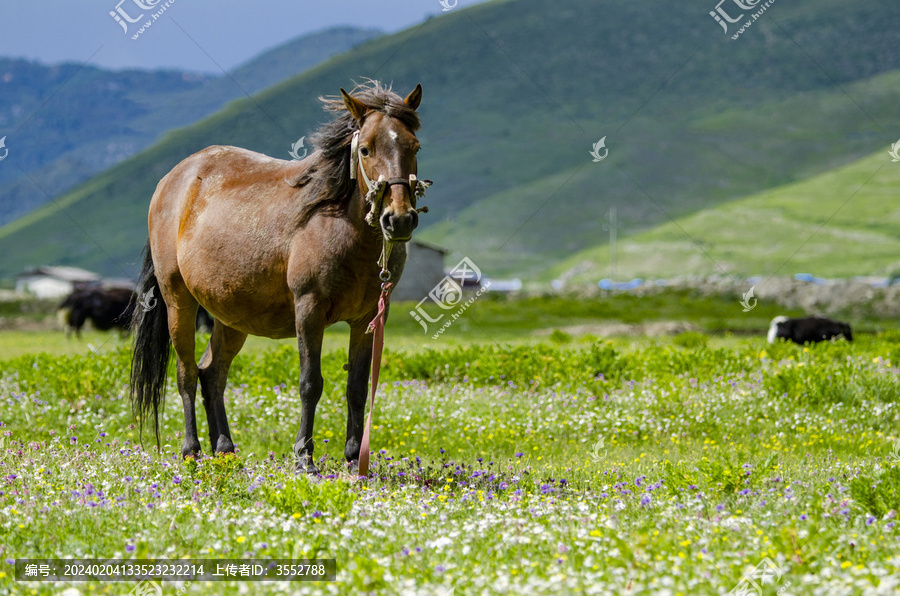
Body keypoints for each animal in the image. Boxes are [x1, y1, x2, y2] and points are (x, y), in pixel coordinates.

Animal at [131, 81, 428, 474]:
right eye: (365, 149)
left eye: (414, 146)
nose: (399, 219)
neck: (338, 224)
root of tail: (170, 181)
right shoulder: (309, 310)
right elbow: (310, 383)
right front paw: (305, 457)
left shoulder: (369, 317)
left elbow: (357, 387)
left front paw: (354, 460)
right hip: (178, 302)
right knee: (187, 374)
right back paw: (192, 450)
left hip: (231, 317)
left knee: (213, 374)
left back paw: (224, 449)